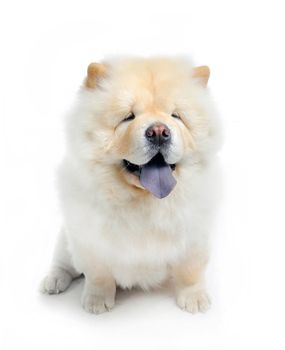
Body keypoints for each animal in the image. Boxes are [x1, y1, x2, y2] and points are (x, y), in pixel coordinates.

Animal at [40, 56, 222, 314]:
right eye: (128, 117)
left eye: (176, 116)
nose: (159, 131)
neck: (145, 201)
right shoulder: (90, 240)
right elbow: (98, 276)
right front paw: (96, 302)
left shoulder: (194, 236)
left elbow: (191, 271)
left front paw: (194, 300)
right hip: (66, 239)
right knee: (64, 263)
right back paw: (53, 281)